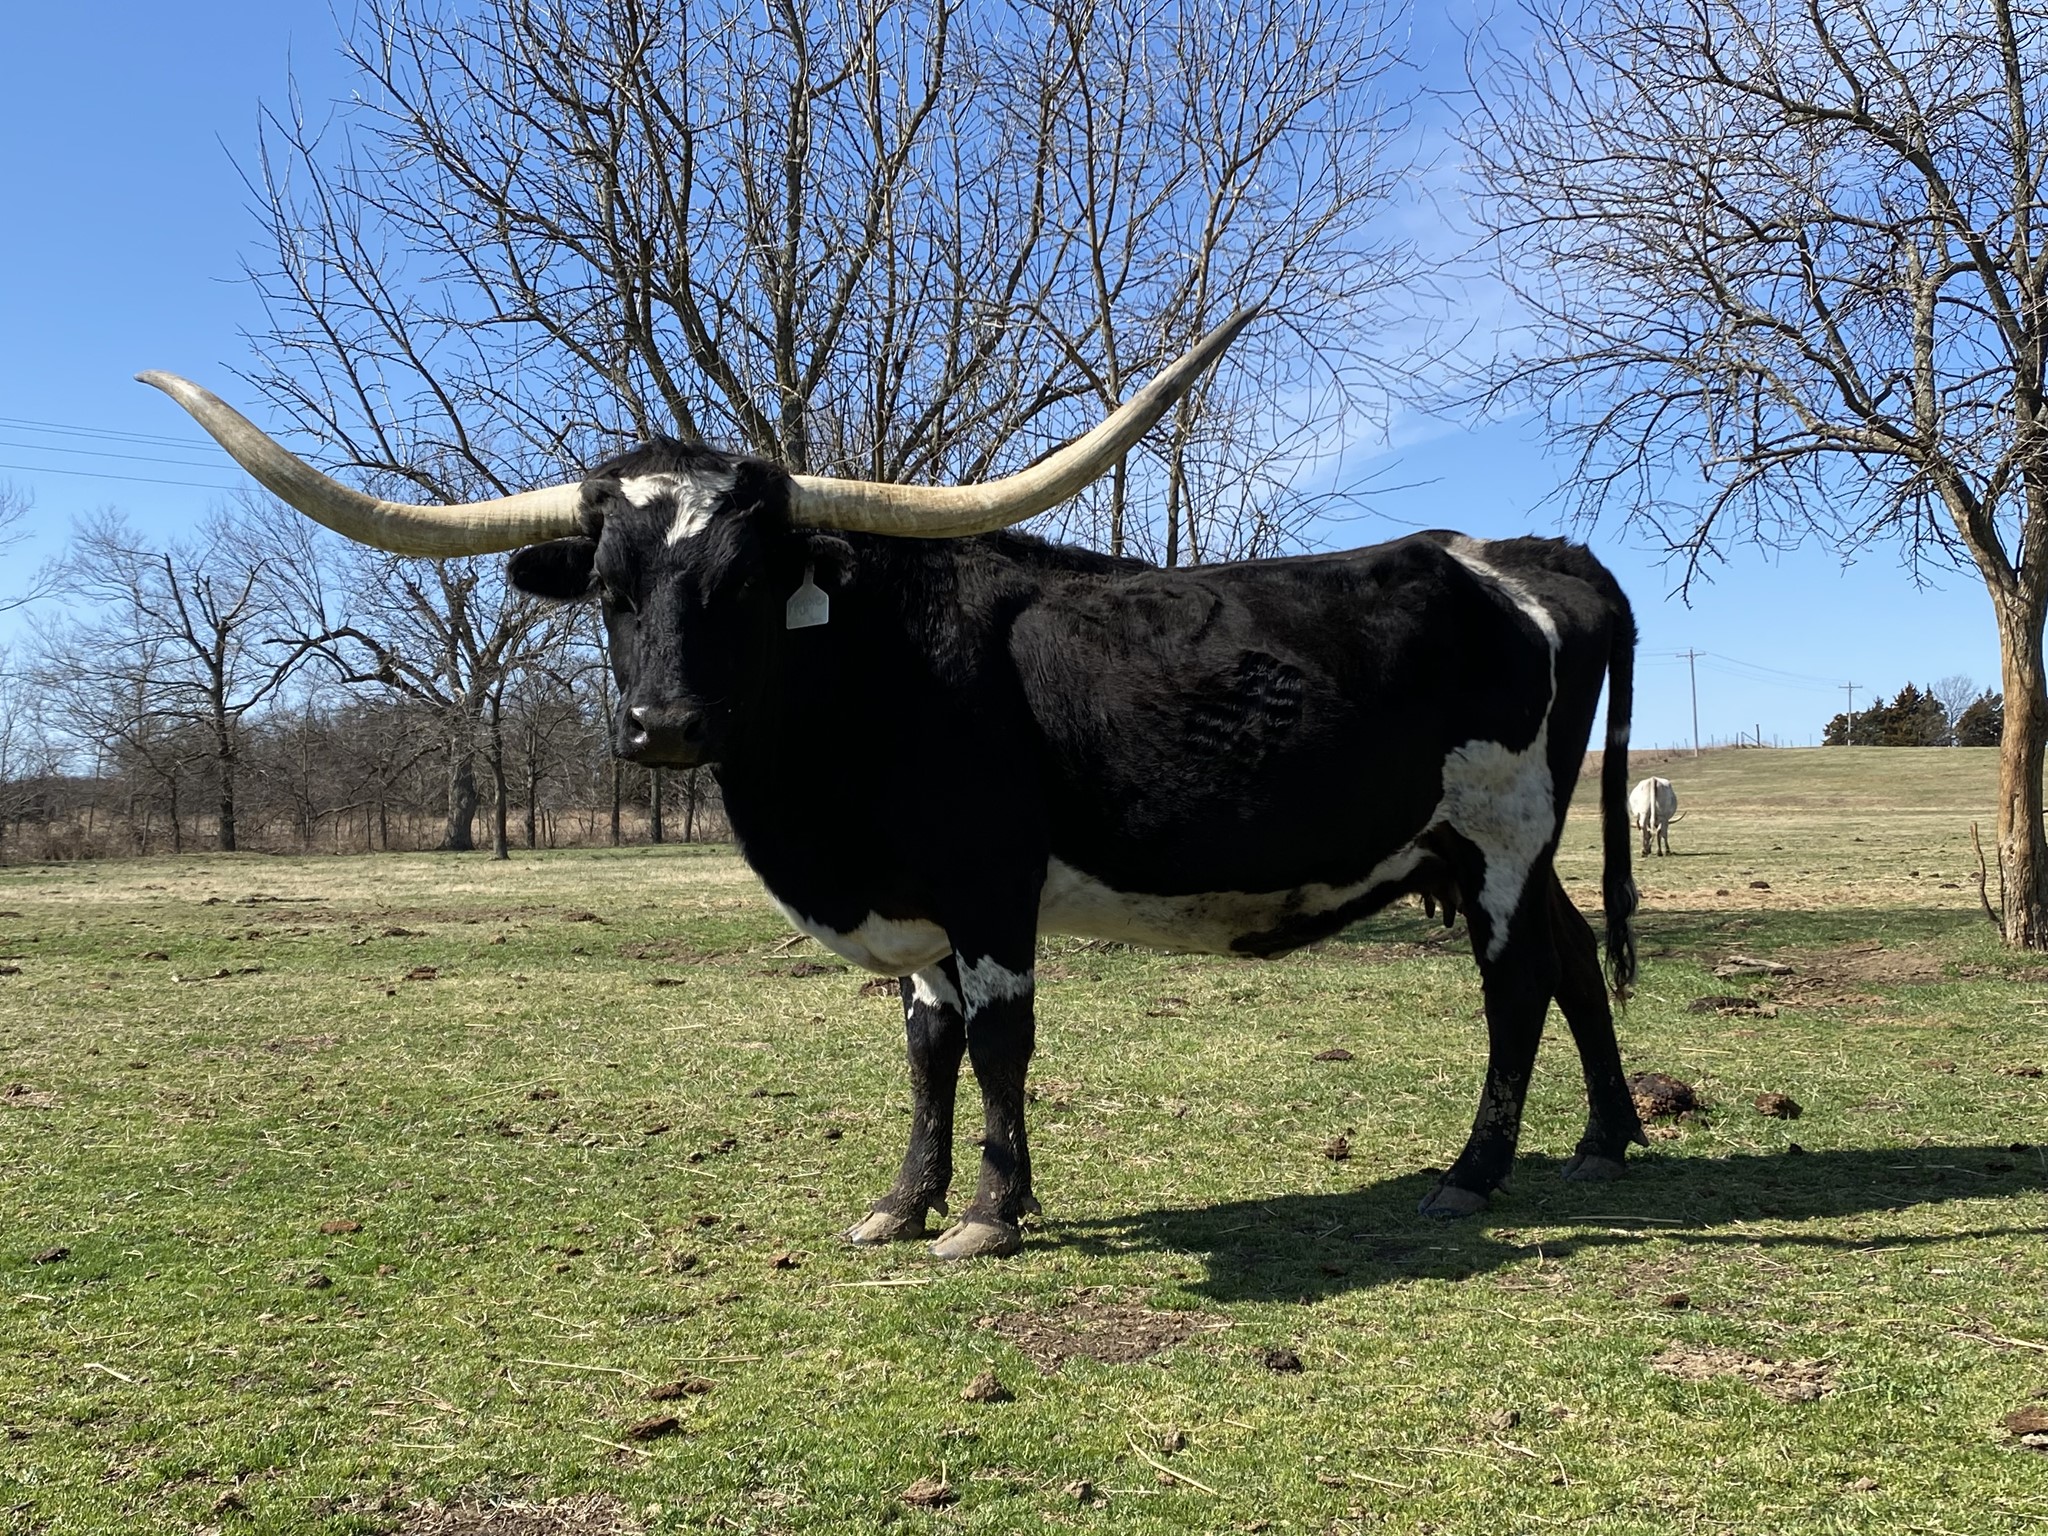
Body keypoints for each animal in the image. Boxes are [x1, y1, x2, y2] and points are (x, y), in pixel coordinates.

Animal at [140, 310, 1647, 1261]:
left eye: (746, 581)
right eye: (614, 587)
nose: (665, 727)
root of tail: (1528, 554)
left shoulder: (988, 893)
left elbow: (998, 1047)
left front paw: (987, 1214)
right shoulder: (912, 913)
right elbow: (925, 1052)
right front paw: (901, 1203)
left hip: (1500, 834)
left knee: (1517, 984)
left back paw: (1473, 1174)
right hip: (1488, 845)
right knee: (1575, 955)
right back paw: (1608, 1138)